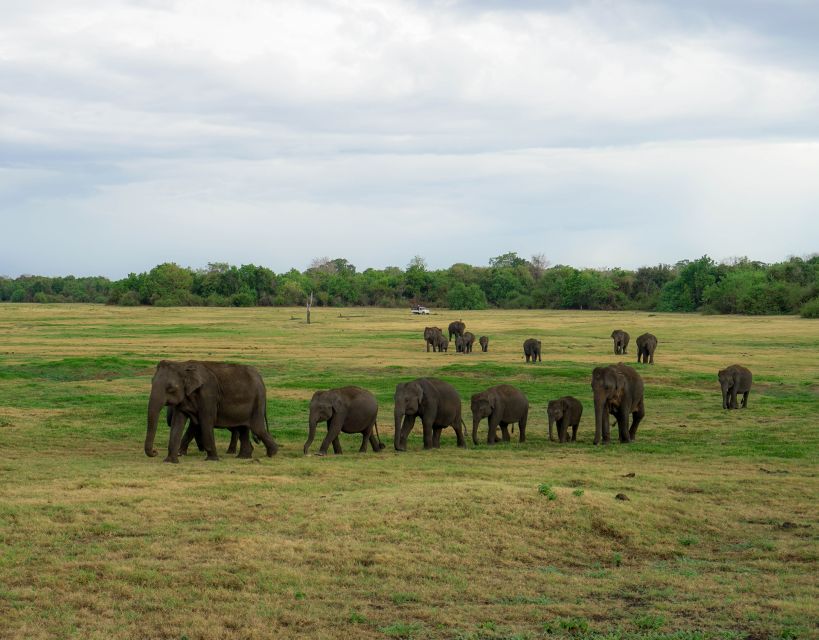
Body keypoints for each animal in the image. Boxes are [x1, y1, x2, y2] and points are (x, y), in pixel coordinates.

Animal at [145, 362, 278, 462]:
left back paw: (272, 453)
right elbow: (178, 423)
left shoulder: (208, 394)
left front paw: (212, 459)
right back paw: (243, 457)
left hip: (257, 401)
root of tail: (261, 379)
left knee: (257, 427)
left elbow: (205, 421)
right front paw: (171, 461)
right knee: (243, 428)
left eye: (171, 388)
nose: (155, 452)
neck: (183, 365)